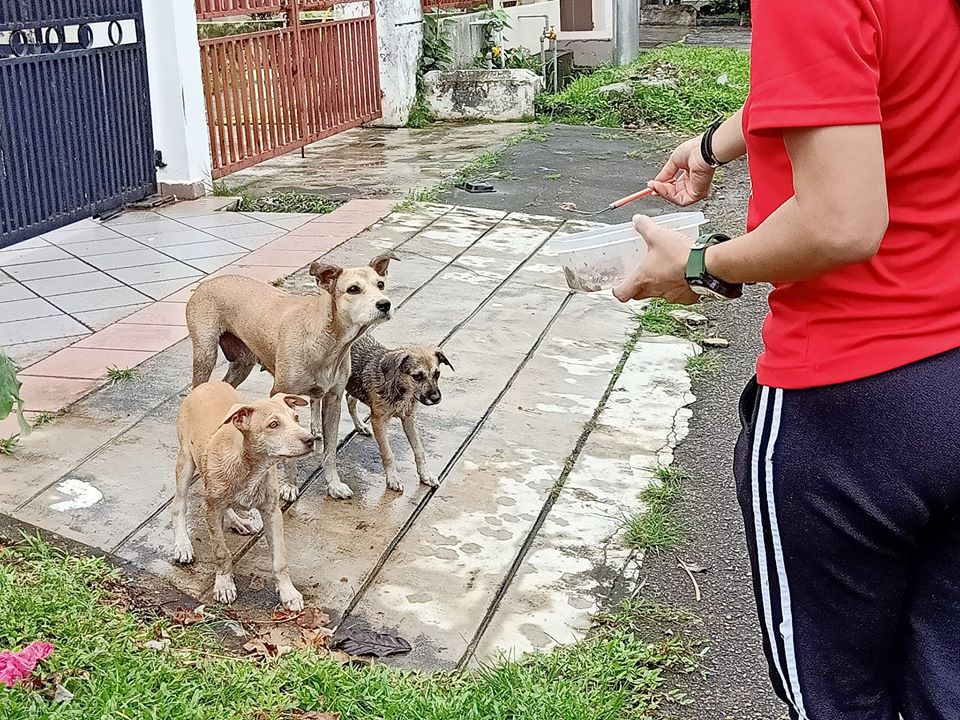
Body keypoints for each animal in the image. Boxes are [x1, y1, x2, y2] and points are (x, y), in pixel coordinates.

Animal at [169, 380, 312, 612]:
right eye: (273, 425)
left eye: (296, 418)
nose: (311, 439)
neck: (250, 467)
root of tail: (207, 384)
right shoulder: (211, 507)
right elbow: (220, 550)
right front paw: (224, 585)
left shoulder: (272, 512)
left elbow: (280, 558)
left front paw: (288, 593)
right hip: (185, 462)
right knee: (178, 504)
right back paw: (182, 544)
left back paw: (239, 522)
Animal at [186, 258, 396, 500]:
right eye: (353, 289)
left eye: (380, 284)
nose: (385, 304)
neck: (327, 341)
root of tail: (205, 283)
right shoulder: (281, 393)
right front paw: (289, 485)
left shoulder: (333, 400)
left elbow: (330, 451)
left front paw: (334, 484)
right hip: (205, 355)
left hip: (242, 363)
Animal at [344, 334, 454, 492]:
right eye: (417, 376)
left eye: (437, 374)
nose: (436, 398)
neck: (399, 387)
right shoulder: (378, 421)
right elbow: (388, 453)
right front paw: (393, 479)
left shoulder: (409, 418)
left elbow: (419, 449)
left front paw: (425, 475)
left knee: (350, 399)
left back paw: (360, 426)